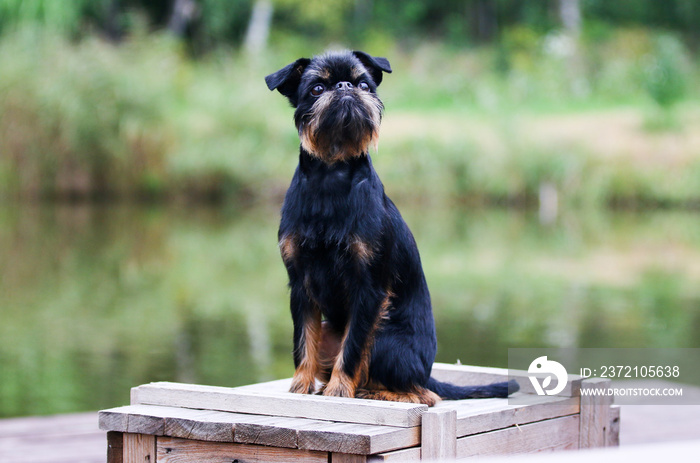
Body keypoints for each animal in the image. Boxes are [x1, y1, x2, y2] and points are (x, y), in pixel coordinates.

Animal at [266, 51, 516, 406]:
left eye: (363, 85)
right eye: (316, 88)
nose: (345, 87)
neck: (331, 175)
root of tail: (426, 370)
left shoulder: (369, 288)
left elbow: (353, 348)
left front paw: (339, 390)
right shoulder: (300, 285)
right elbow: (303, 341)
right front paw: (300, 387)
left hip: (385, 337)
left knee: (423, 393)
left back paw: (371, 391)